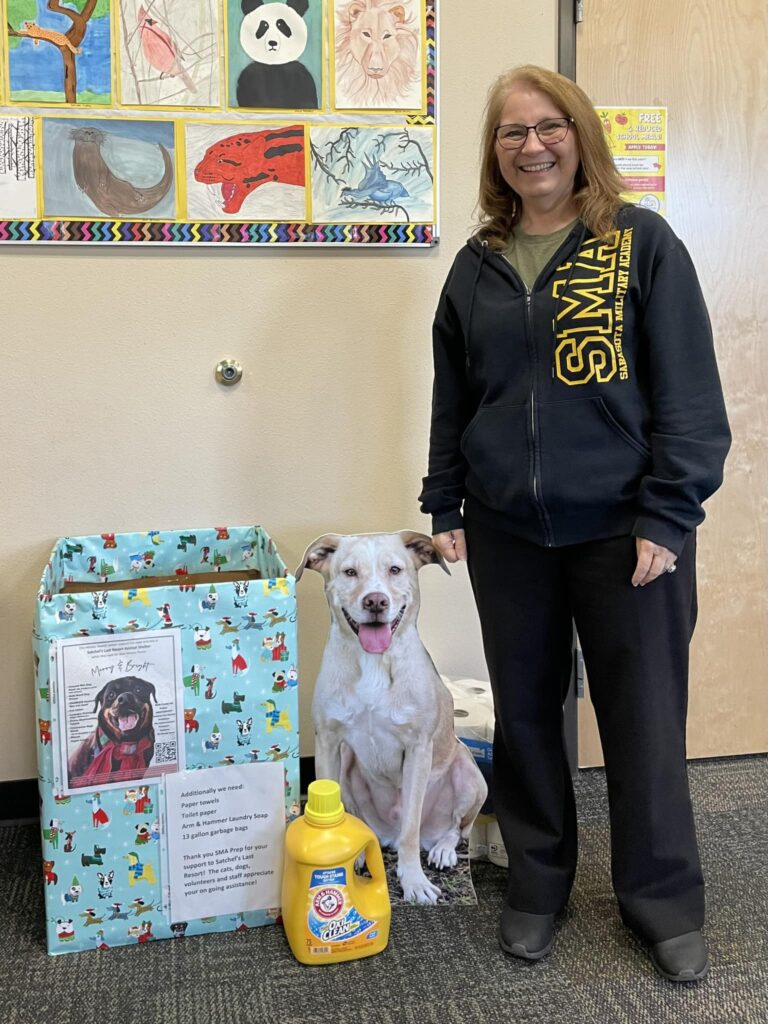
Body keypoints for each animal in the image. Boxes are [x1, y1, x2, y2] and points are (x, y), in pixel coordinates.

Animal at [296, 532, 487, 901]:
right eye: (350, 572)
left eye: (395, 569)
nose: (375, 601)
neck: (373, 662)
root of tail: (387, 836)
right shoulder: (328, 743)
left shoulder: (418, 749)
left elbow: (411, 827)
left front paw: (413, 881)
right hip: (349, 760)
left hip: (470, 772)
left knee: (457, 828)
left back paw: (442, 850)